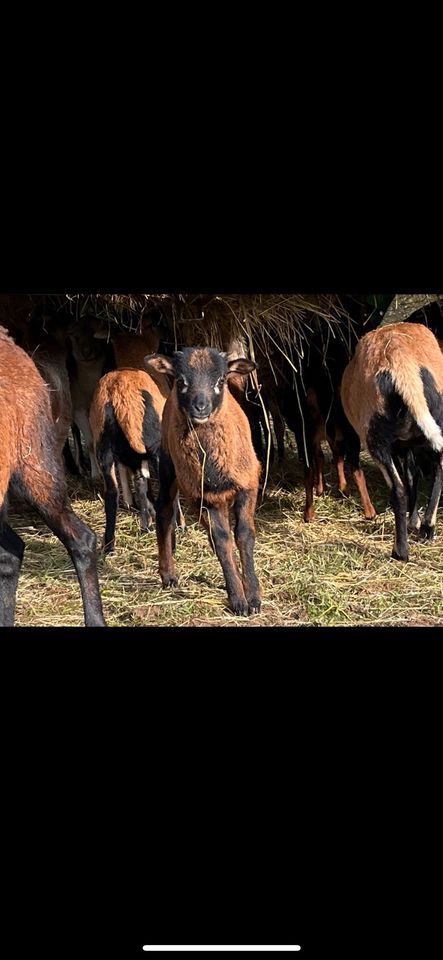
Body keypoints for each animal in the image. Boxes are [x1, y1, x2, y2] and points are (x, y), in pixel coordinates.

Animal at [146, 348, 264, 620]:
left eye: (221, 380)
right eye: (181, 380)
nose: (200, 407)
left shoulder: (247, 485)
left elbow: (243, 536)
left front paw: (252, 595)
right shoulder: (205, 498)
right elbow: (222, 541)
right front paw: (238, 600)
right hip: (169, 466)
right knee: (164, 511)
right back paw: (168, 575)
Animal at [344, 324, 443, 564]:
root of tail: (399, 358)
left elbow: (408, 479)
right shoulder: (407, 447)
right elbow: (413, 477)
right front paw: (415, 522)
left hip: (375, 440)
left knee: (399, 490)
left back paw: (401, 551)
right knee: (435, 472)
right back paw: (427, 529)